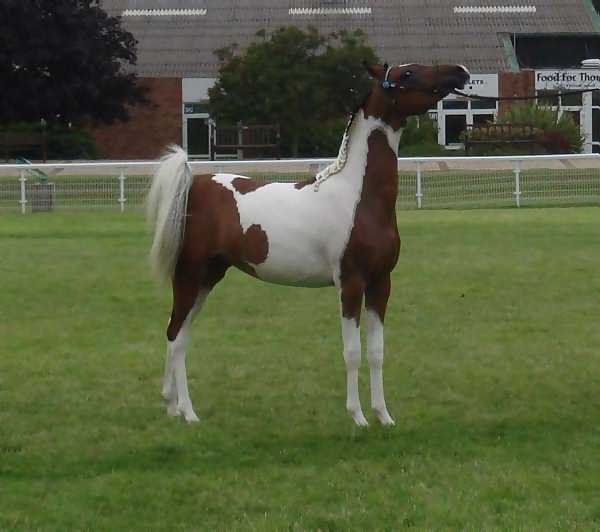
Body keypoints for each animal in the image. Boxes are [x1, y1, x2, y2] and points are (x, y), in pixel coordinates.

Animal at [146, 62, 470, 425]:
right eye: (407, 74)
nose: (459, 72)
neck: (359, 198)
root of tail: (193, 184)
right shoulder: (350, 283)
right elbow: (352, 352)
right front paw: (358, 417)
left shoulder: (381, 283)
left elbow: (376, 352)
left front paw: (384, 416)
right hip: (190, 275)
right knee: (176, 335)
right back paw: (188, 412)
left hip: (208, 278)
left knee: (179, 333)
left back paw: (173, 406)